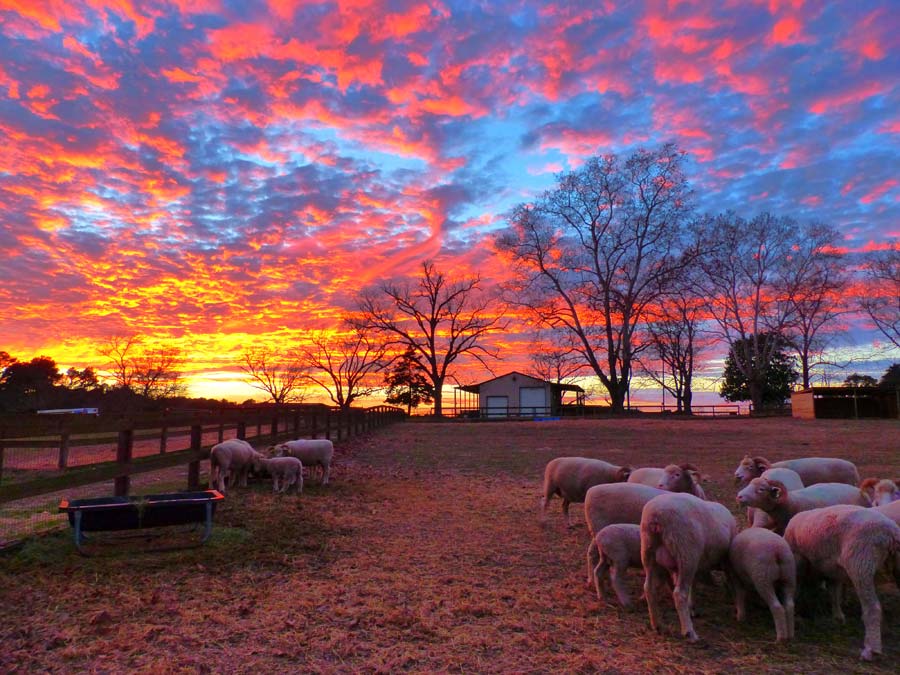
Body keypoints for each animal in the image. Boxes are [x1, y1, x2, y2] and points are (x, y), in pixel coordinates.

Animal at [640, 494, 740, 640]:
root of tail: (656, 515)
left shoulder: (697, 563)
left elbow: (694, 583)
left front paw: (692, 607)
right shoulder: (723, 561)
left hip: (649, 552)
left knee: (649, 588)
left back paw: (657, 625)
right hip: (686, 552)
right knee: (679, 594)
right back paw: (689, 632)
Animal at [780, 508, 900, 660]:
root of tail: (891, 533)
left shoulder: (799, 558)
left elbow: (797, 586)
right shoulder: (834, 570)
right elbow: (834, 591)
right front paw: (838, 616)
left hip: (861, 563)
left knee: (872, 608)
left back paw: (871, 650)